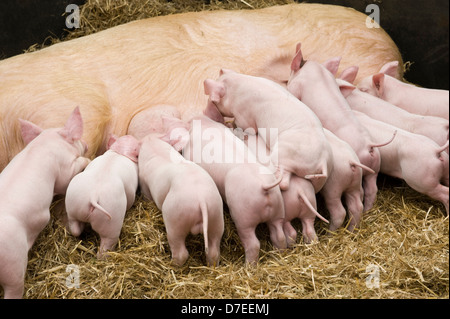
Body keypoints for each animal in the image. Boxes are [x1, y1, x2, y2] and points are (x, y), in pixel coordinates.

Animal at [0, 108, 89, 300]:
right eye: (75, 139)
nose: (86, 144)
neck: (45, 142)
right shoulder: (64, 170)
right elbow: (66, 179)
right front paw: (87, 160)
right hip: (14, 263)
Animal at [136, 132, 222, 268]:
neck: (153, 144)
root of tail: (201, 199)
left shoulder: (143, 182)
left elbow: (146, 196)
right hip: (216, 215)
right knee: (214, 251)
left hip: (175, 218)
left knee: (181, 252)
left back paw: (171, 265)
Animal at [165, 115, 284, 264]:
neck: (204, 124)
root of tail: (264, 186)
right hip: (278, 209)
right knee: (279, 234)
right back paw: (278, 255)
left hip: (243, 215)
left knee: (254, 244)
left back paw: (248, 266)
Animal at [202, 68, 332, 192]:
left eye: (212, 99)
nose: (204, 111)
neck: (235, 88)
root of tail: (322, 160)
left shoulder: (243, 115)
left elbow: (248, 128)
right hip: (318, 179)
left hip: (286, 153)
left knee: (284, 182)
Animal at [288, 43, 394, 212]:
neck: (315, 70)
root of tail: (369, 146)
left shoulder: (296, 87)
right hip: (374, 168)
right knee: (371, 190)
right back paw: (367, 209)